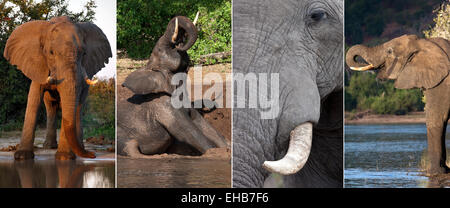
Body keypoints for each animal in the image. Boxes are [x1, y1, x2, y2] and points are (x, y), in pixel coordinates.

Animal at [3, 16, 112, 159]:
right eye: (51, 52)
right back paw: (49, 147)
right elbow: (34, 98)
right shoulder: (39, 65)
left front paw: (64, 158)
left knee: (78, 107)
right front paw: (22, 157)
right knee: (50, 107)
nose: (93, 155)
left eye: (84, 54)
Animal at [118, 14, 229, 157]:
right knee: (132, 146)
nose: (179, 42)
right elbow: (191, 134)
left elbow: (207, 127)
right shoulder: (164, 107)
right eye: (160, 49)